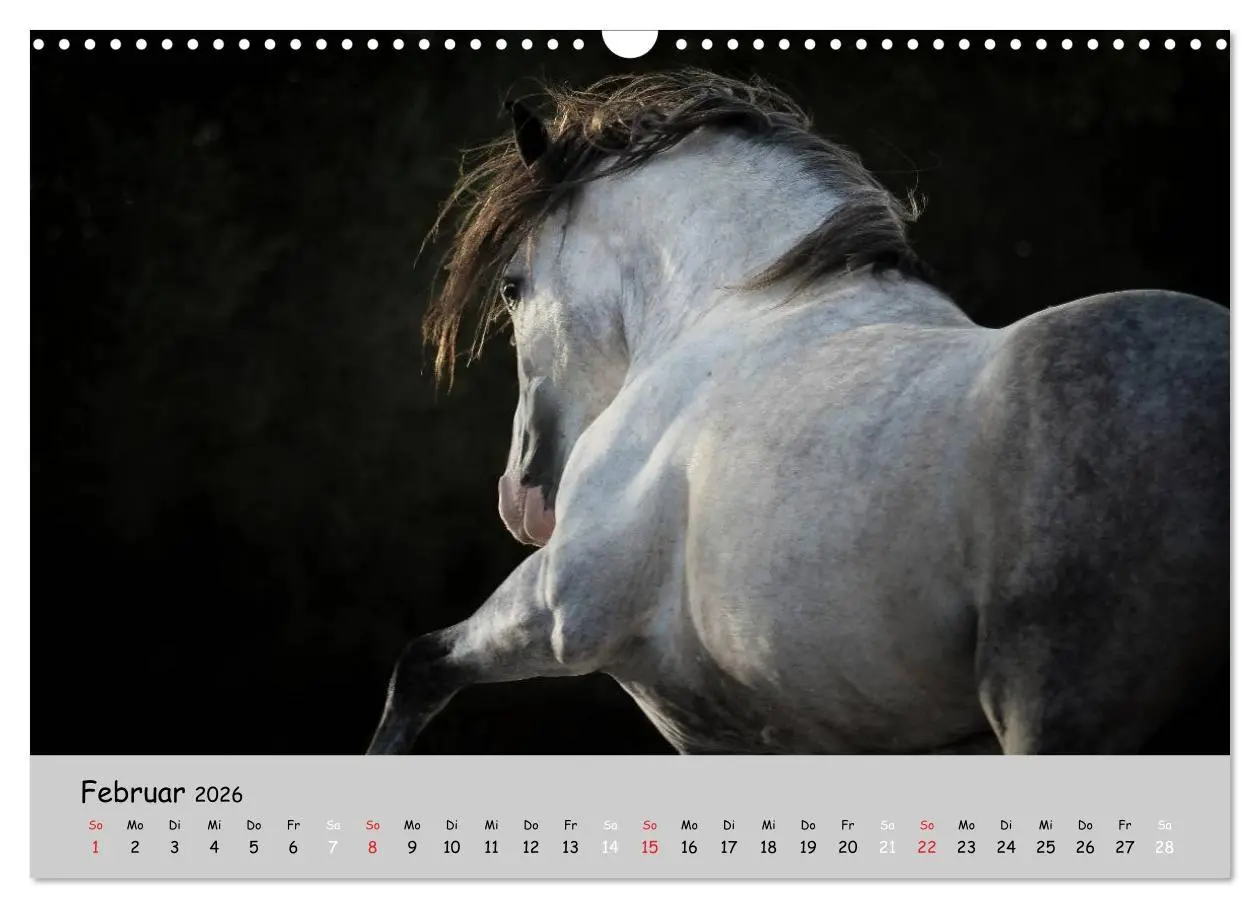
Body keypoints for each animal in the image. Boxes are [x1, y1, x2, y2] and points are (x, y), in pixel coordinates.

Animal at [367, 71, 1229, 756]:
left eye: (513, 287)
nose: (523, 498)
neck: (737, 310)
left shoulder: (562, 608)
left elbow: (420, 667)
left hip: (1053, 710)